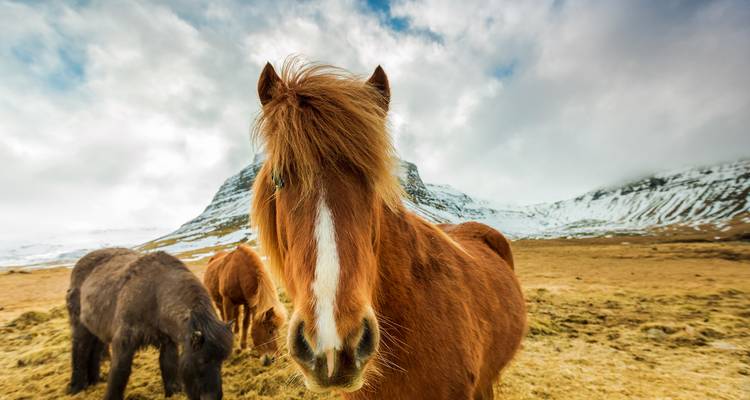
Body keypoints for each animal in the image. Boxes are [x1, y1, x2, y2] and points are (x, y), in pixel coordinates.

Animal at [66, 248, 233, 400]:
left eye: (221, 361)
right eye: (201, 360)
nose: (213, 397)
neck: (155, 294)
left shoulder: (168, 342)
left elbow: (169, 366)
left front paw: (172, 392)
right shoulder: (123, 342)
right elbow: (119, 373)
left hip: (96, 331)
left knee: (93, 351)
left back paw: (94, 381)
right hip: (80, 327)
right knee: (80, 350)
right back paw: (76, 387)